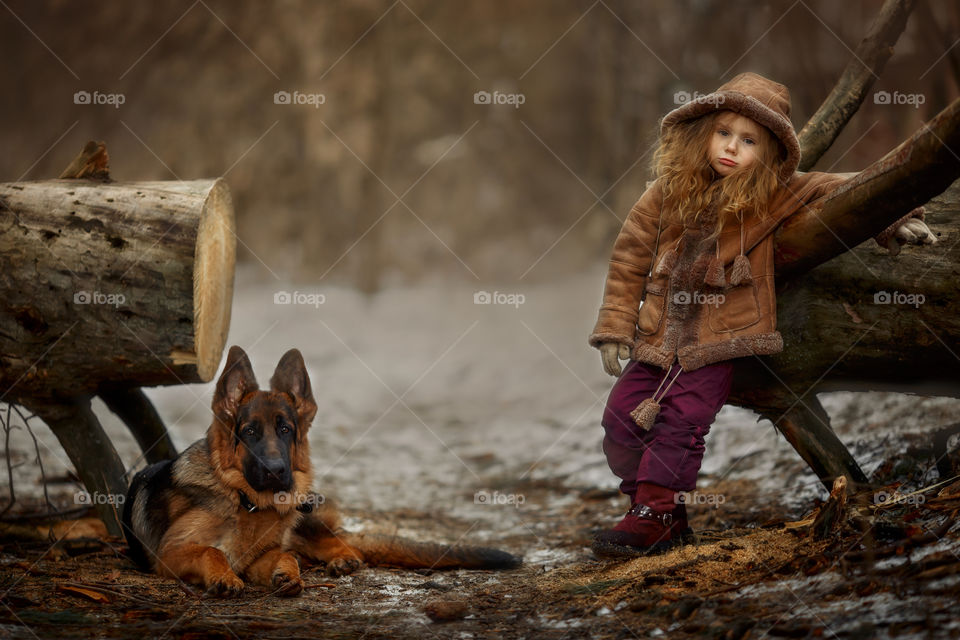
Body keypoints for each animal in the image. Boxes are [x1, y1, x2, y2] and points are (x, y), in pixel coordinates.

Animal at [124, 344, 524, 596]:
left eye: (286, 430)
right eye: (250, 432)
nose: (276, 471)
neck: (244, 500)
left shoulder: (260, 554)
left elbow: (283, 554)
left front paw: (286, 572)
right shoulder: (170, 554)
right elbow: (213, 551)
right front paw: (225, 577)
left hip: (306, 513)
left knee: (334, 543)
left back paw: (342, 557)